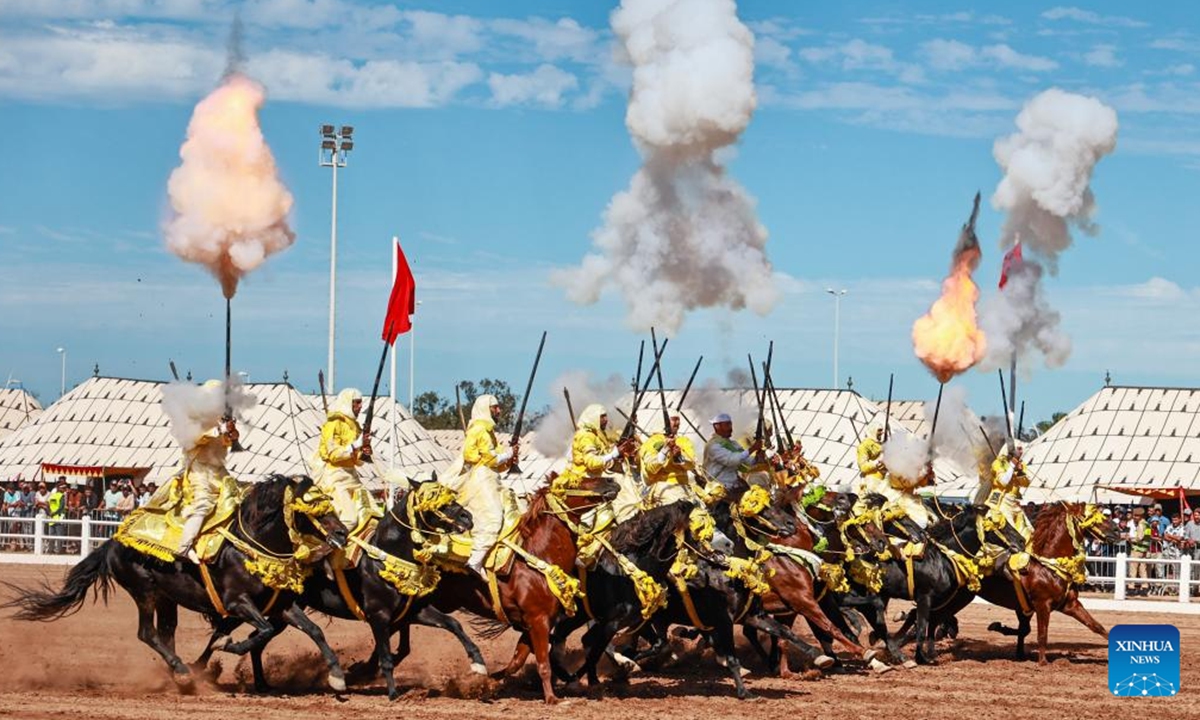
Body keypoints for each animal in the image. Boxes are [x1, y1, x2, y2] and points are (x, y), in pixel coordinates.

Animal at [2, 475, 350, 691]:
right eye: (314, 508)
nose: (343, 532)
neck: (250, 547)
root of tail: (111, 543)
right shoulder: (238, 603)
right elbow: (258, 631)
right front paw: (226, 646)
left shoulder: (282, 606)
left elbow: (314, 630)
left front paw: (336, 676)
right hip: (143, 591)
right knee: (147, 633)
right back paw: (183, 671)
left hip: (167, 598)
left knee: (165, 634)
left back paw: (180, 674)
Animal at [192, 477, 482, 696]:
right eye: (438, 500)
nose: (468, 517)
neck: (386, 553)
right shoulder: (378, 615)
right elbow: (386, 656)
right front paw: (391, 692)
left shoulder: (413, 611)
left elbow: (453, 624)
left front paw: (478, 663)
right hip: (254, 605)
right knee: (224, 632)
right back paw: (199, 669)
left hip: (277, 612)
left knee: (255, 638)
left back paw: (261, 683)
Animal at [979, 501, 1118, 662]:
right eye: (1090, 514)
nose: (1117, 529)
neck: (1047, 567)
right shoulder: (1042, 605)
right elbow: (1041, 634)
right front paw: (1042, 662)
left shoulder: (1069, 605)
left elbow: (1096, 626)